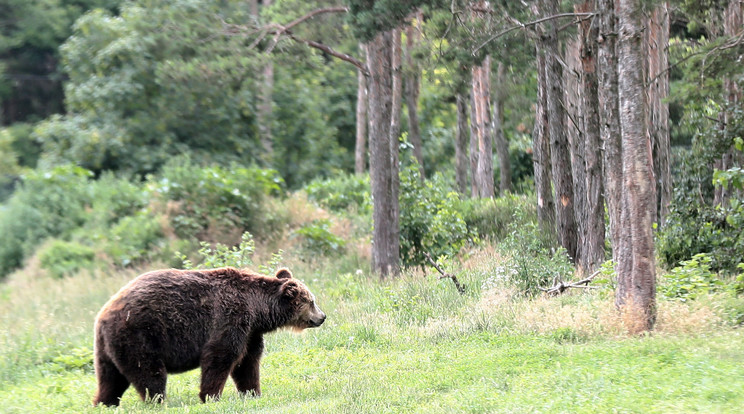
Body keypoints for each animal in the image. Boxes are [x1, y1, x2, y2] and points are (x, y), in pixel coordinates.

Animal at [91, 266, 324, 406]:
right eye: (311, 301)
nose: (322, 317)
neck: (257, 310)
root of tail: (103, 315)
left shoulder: (251, 333)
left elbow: (247, 363)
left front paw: (252, 393)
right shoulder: (230, 319)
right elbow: (220, 357)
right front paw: (211, 396)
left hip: (109, 347)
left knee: (110, 377)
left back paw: (104, 402)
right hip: (140, 335)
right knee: (149, 373)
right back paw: (158, 401)